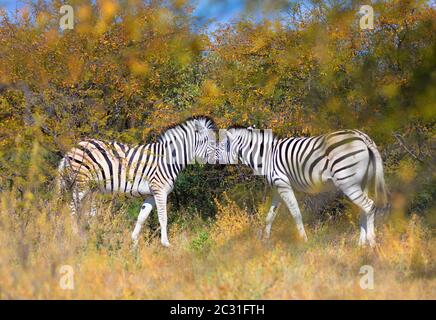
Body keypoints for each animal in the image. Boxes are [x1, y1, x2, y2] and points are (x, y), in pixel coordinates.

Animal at [57, 116, 217, 246]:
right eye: (208, 141)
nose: (216, 161)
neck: (168, 159)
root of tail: (72, 149)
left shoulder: (151, 194)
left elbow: (142, 218)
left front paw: (133, 242)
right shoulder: (160, 190)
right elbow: (163, 217)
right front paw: (166, 244)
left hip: (90, 187)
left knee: (87, 212)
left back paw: (89, 234)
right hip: (81, 184)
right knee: (72, 209)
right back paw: (75, 236)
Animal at [218, 126, 388, 246]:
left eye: (220, 147)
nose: (217, 165)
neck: (266, 156)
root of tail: (362, 137)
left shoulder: (283, 184)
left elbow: (296, 213)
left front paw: (304, 241)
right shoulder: (277, 188)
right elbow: (270, 216)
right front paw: (265, 241)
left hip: (348, 181)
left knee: (369, 206)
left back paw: (372, 244)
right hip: (361, 182)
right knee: (363, 209)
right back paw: (360, 244)